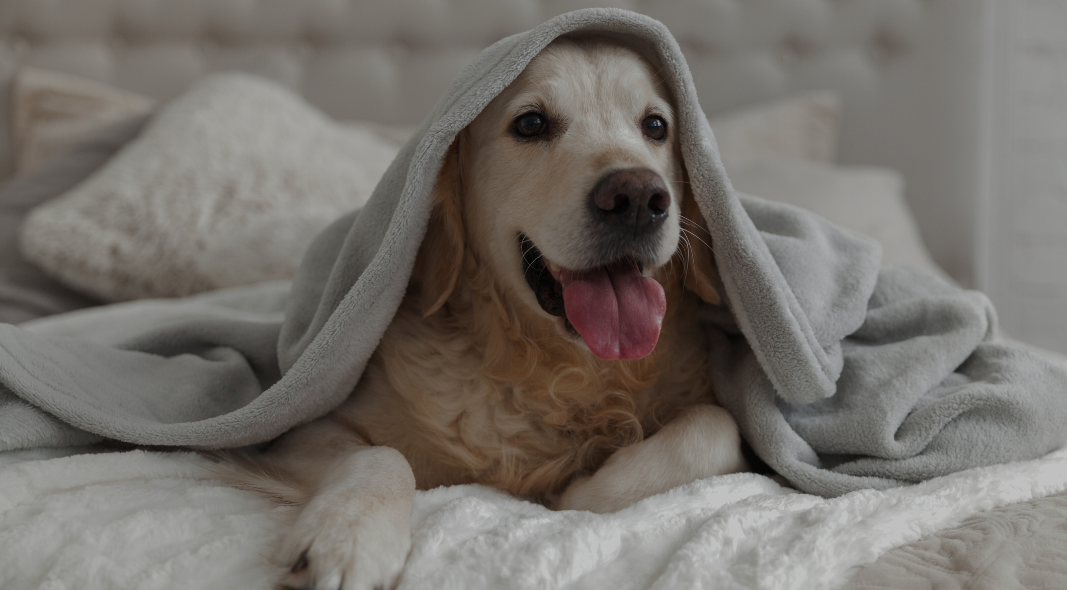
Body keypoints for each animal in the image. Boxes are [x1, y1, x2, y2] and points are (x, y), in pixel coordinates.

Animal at [221, 34, 746, 584]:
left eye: (656, 126)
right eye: (531, 124)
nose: (639, 197)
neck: (558, 371)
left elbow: (716, 427)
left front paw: (586, 490)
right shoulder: (295, 434)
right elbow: (381, 454)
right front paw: (347, 536)